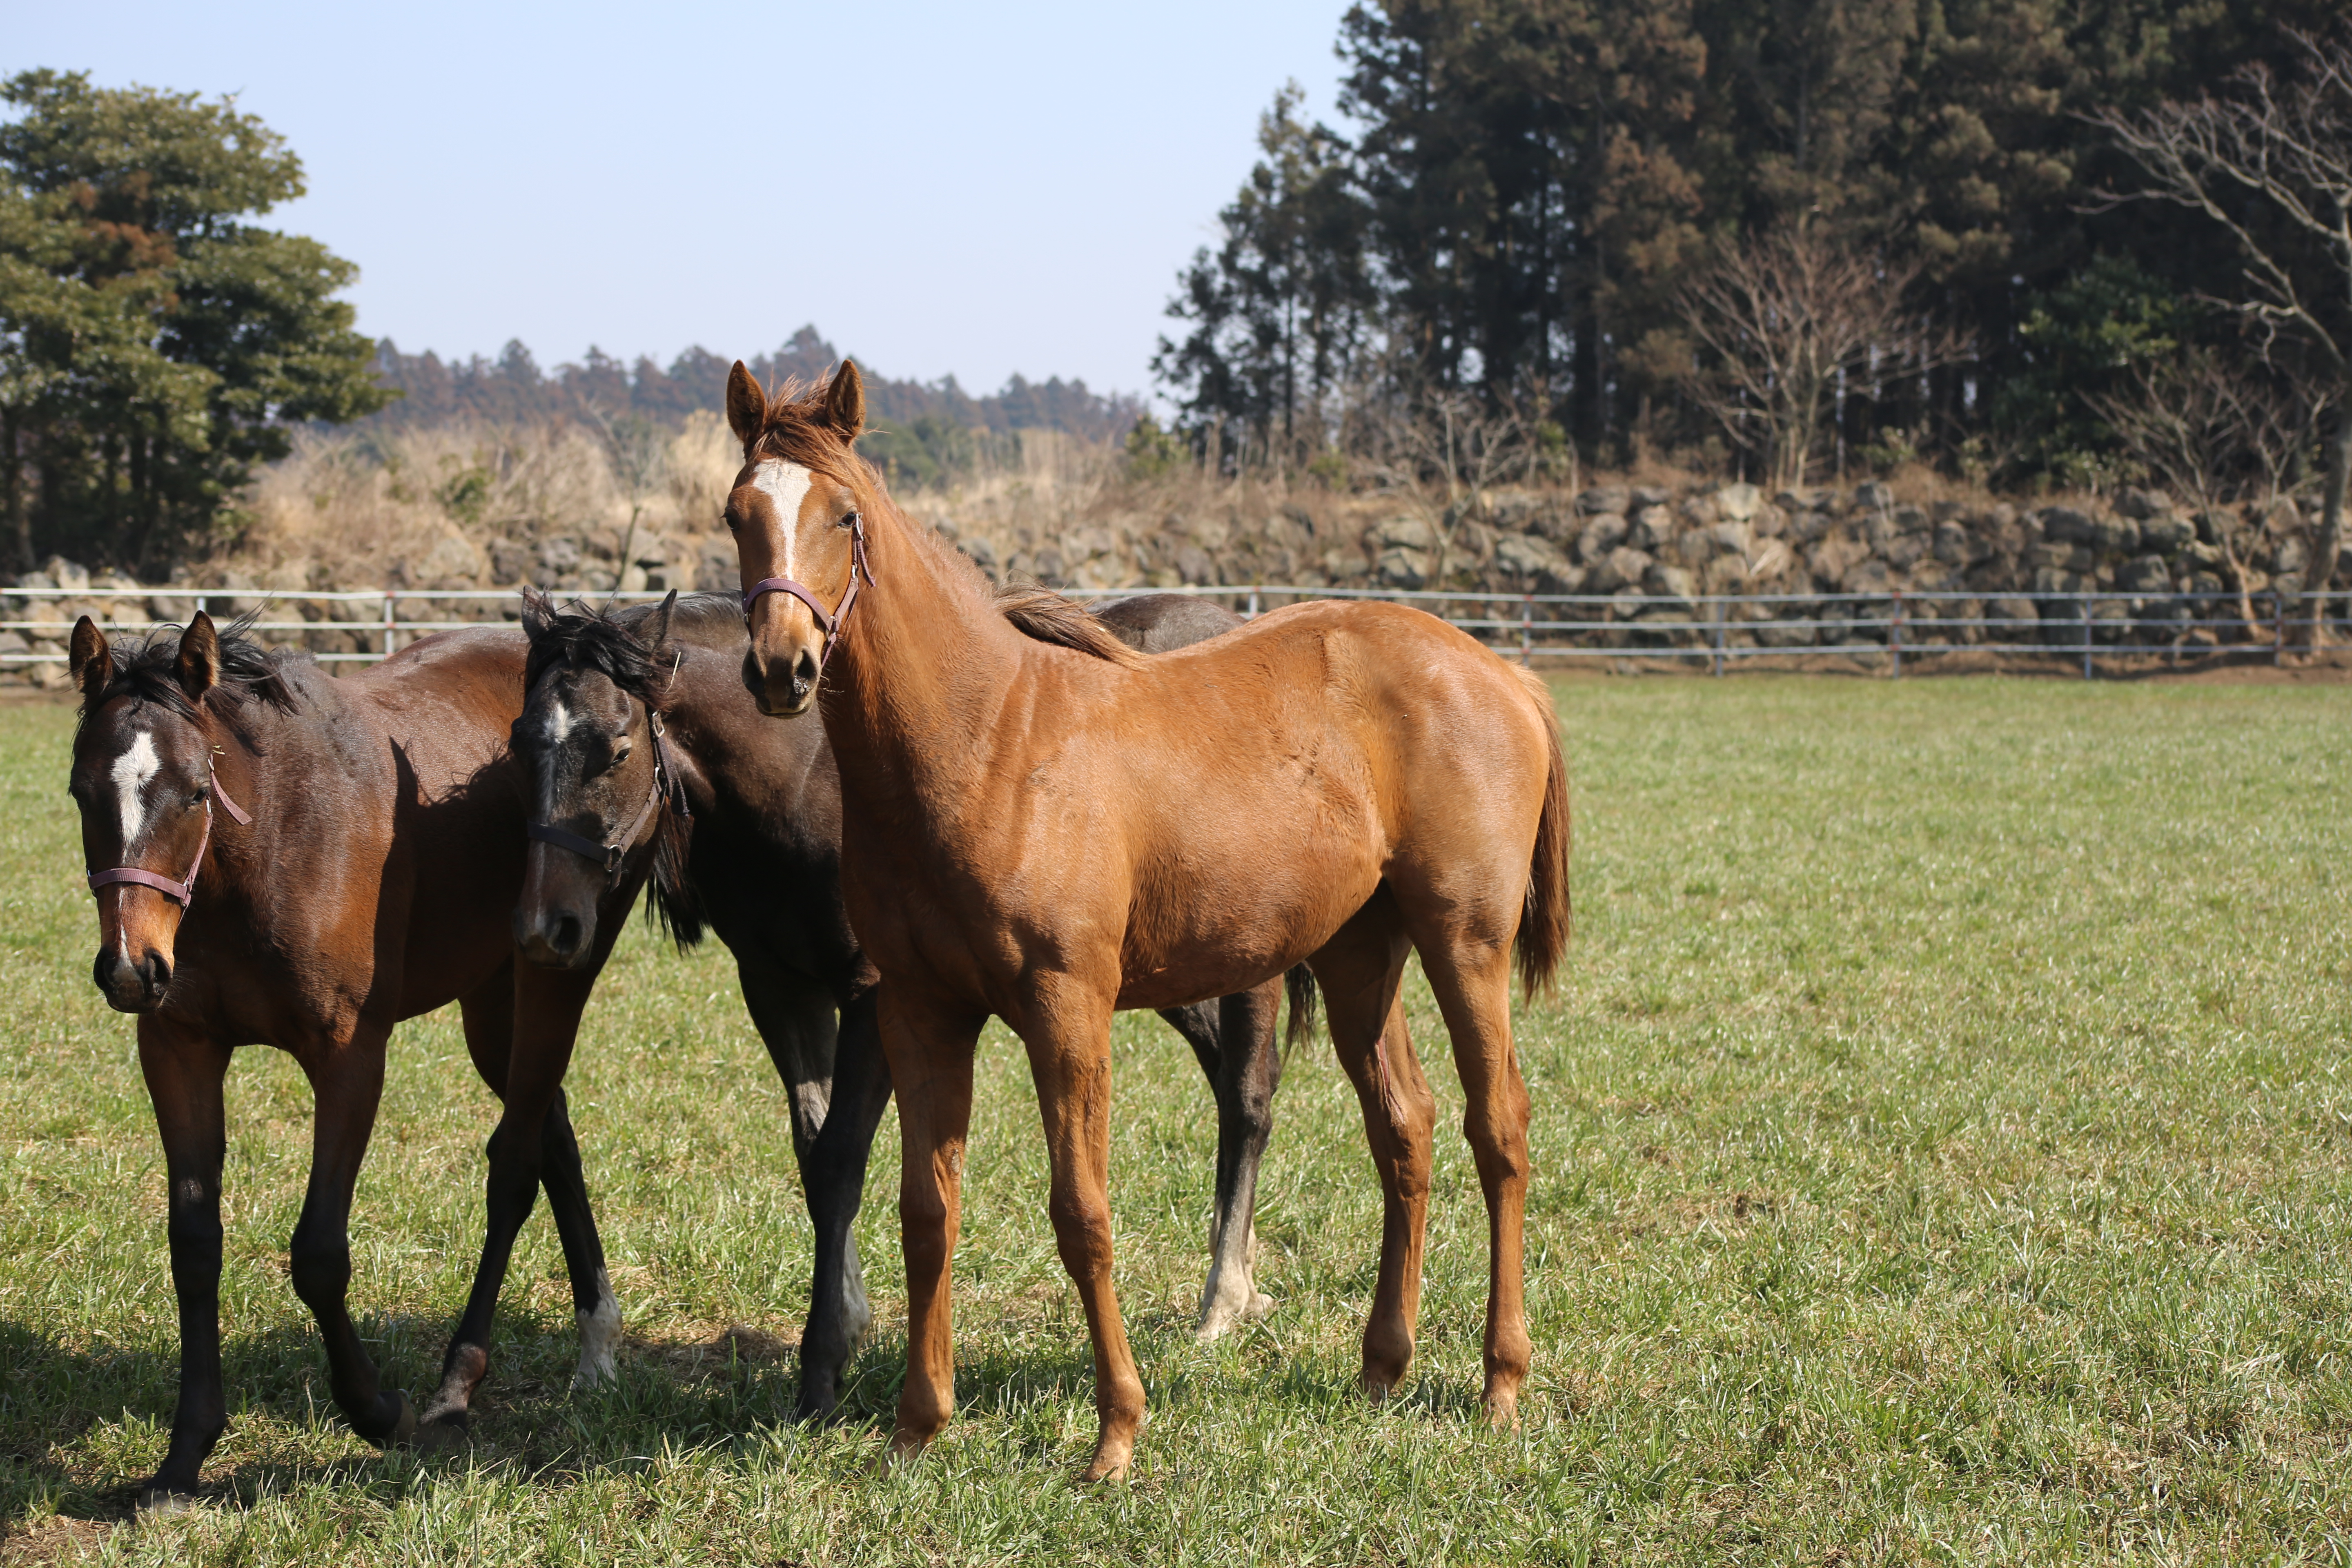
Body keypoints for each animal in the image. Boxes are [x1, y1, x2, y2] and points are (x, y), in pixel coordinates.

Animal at [715, 364, 1561, 1486]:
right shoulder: (920, 1013)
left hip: (1463, 942)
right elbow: (925, 1211)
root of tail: (1500, 671)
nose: (782, 668)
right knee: (1405, 1125)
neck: (985, 744)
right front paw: (917, 1424)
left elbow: (1081, 1213)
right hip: (1358, 956)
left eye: (843, 516)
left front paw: (1116, 1431)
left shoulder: (1067, 1010)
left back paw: (1500, 1381)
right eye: (736, 515)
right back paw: (1383, 1365)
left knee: (1496, 1124)